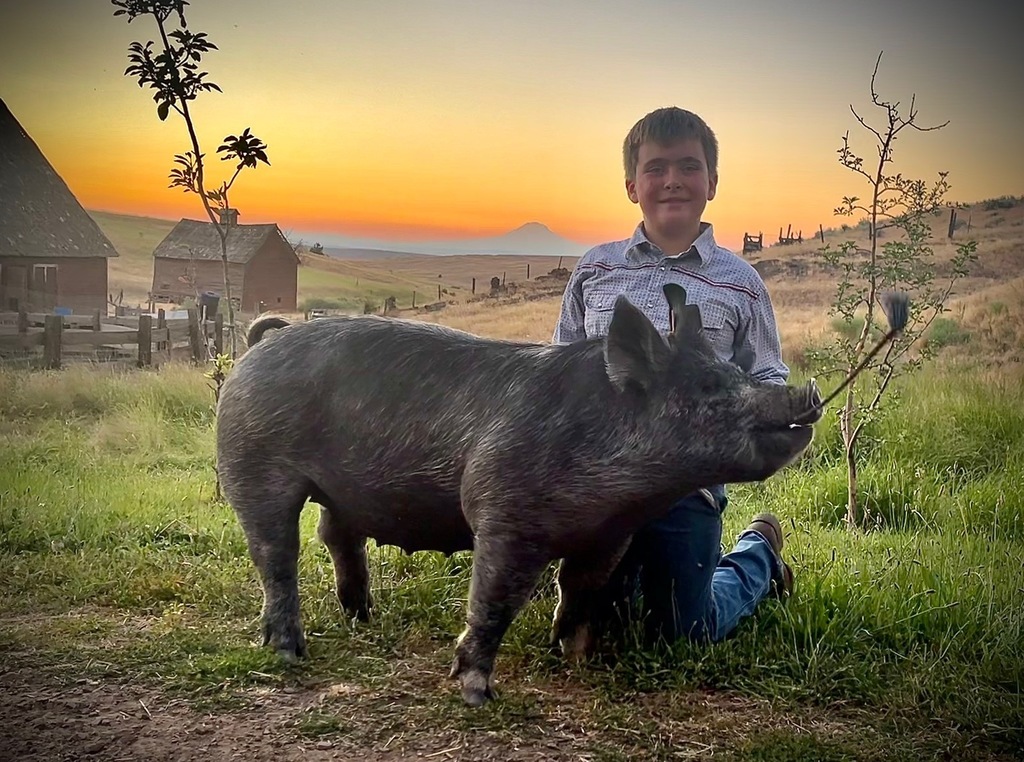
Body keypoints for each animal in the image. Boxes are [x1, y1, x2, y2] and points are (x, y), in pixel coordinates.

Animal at [216, 283, 821, 707]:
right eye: (709, 387)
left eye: (735, 369)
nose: (807, 394)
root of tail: (261, 343)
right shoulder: (506, 513)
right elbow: (495, 600)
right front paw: (477, 694)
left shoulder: (609, 536)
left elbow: (580, 591)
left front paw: (574, 659)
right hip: (252, 462)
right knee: (276, 553)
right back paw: (290, 652)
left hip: (342, 492)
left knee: (335, 535)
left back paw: (364, 618)